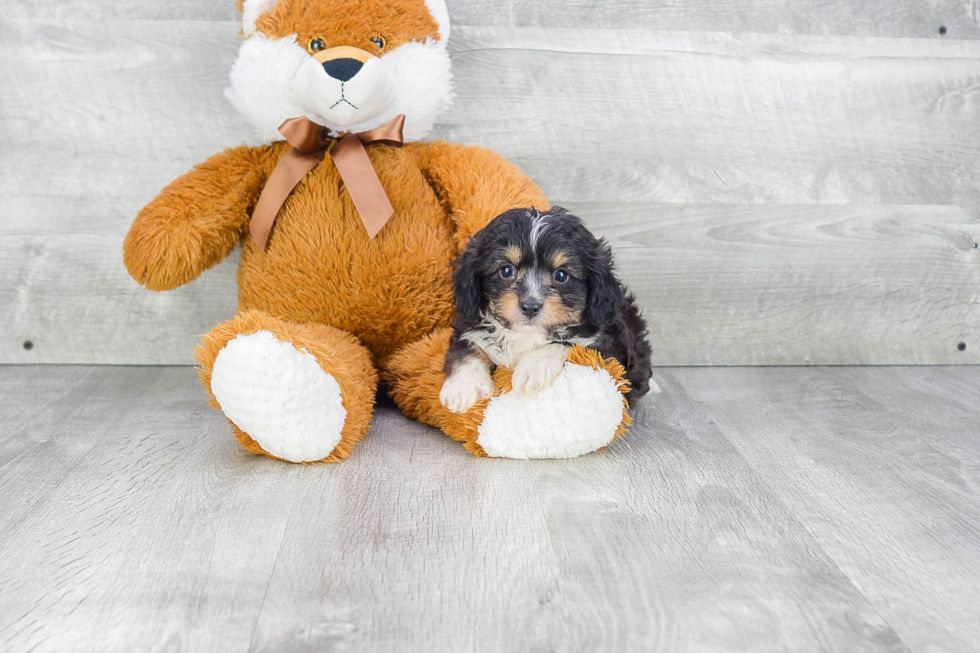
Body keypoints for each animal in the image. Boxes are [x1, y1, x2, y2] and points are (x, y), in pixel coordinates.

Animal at [440, 206, 656, 416]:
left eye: (561, 275)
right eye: (506, 270)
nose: (530, 306)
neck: (526, 334)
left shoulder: (611, 346)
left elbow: (567, 342)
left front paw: (533, 368)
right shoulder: (469, 322)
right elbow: (468, 348)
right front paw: (464, 387)